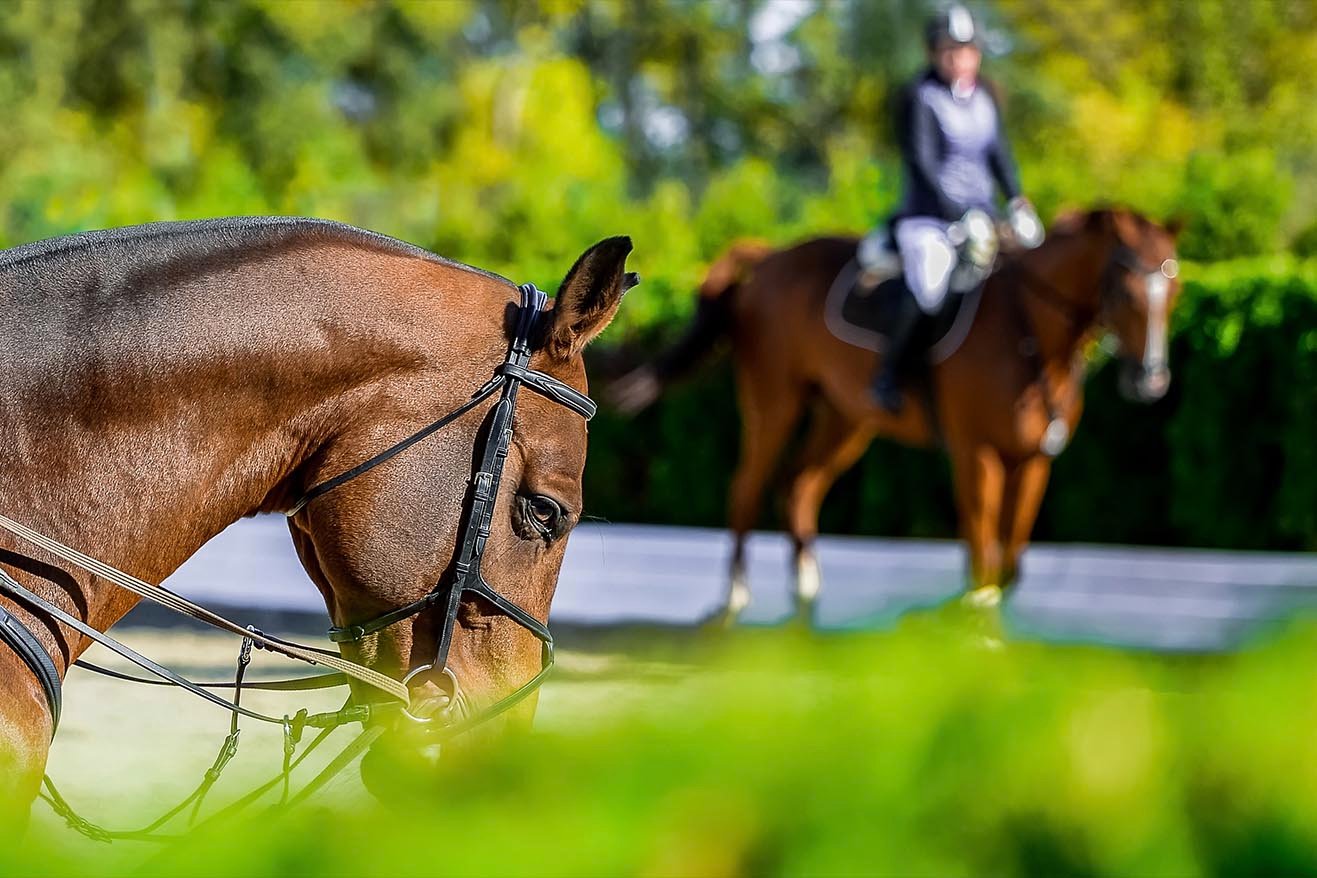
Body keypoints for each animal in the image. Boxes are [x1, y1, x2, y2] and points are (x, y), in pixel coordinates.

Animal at [616, 209, 1185, 623]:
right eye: (1127, 290)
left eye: (1174, 289)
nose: (1150, 380)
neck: (1030, 333)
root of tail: (771, 257)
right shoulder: (975, 454)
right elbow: (981, 547)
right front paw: (978, 619)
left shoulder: (1033, 461)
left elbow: (1010, 561)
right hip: (774, 405)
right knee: (746, 487)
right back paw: (736, 596)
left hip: (845, 420)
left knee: (800, 487)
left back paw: (807, 591)